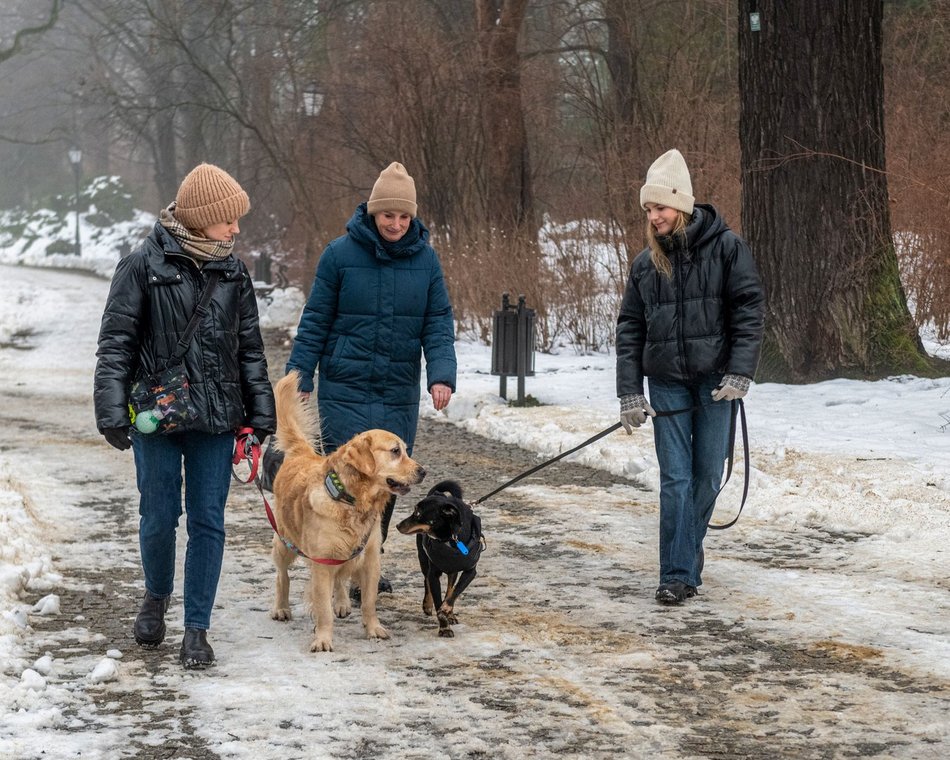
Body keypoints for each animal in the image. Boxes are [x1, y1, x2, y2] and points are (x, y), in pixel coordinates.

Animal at [396, 480, 484, 636]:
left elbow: (454, 592)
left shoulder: (470, 572)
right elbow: (437, 598)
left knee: (450, 587)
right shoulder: (434, 573)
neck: (450, 538)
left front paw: (446, 610)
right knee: (426, 580)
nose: (397, 525)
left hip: (452, 570)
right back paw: (427, 605)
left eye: (418, 513)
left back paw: (451, 614)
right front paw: (444, 627)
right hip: (423, 559)